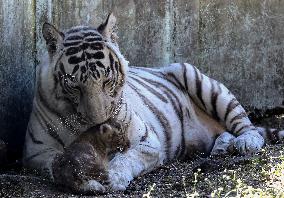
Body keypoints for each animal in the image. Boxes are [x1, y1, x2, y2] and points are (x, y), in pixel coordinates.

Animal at [22, 13, 284, 193]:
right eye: (74, 85)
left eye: (107, 81)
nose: (99, 123)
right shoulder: (36, 152)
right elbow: (57, 163)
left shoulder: (147, 142)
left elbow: (126, 158)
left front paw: (114, 176)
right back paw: (221, 146)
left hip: (197, 78)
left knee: (246, 126)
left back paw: (244, 143)